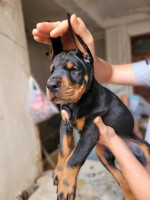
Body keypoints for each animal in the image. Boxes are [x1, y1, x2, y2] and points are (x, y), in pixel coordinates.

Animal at [46, 13, 150, 200]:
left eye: (73, 69)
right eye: (52, 70)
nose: (50, 85)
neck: (77, 103)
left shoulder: (91, 130)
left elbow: (74, 157)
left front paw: (66, 186)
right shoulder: (65, 123)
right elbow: (64, 149)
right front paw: (59, 172)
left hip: (144, 149)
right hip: (103, 153)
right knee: (121, 177)